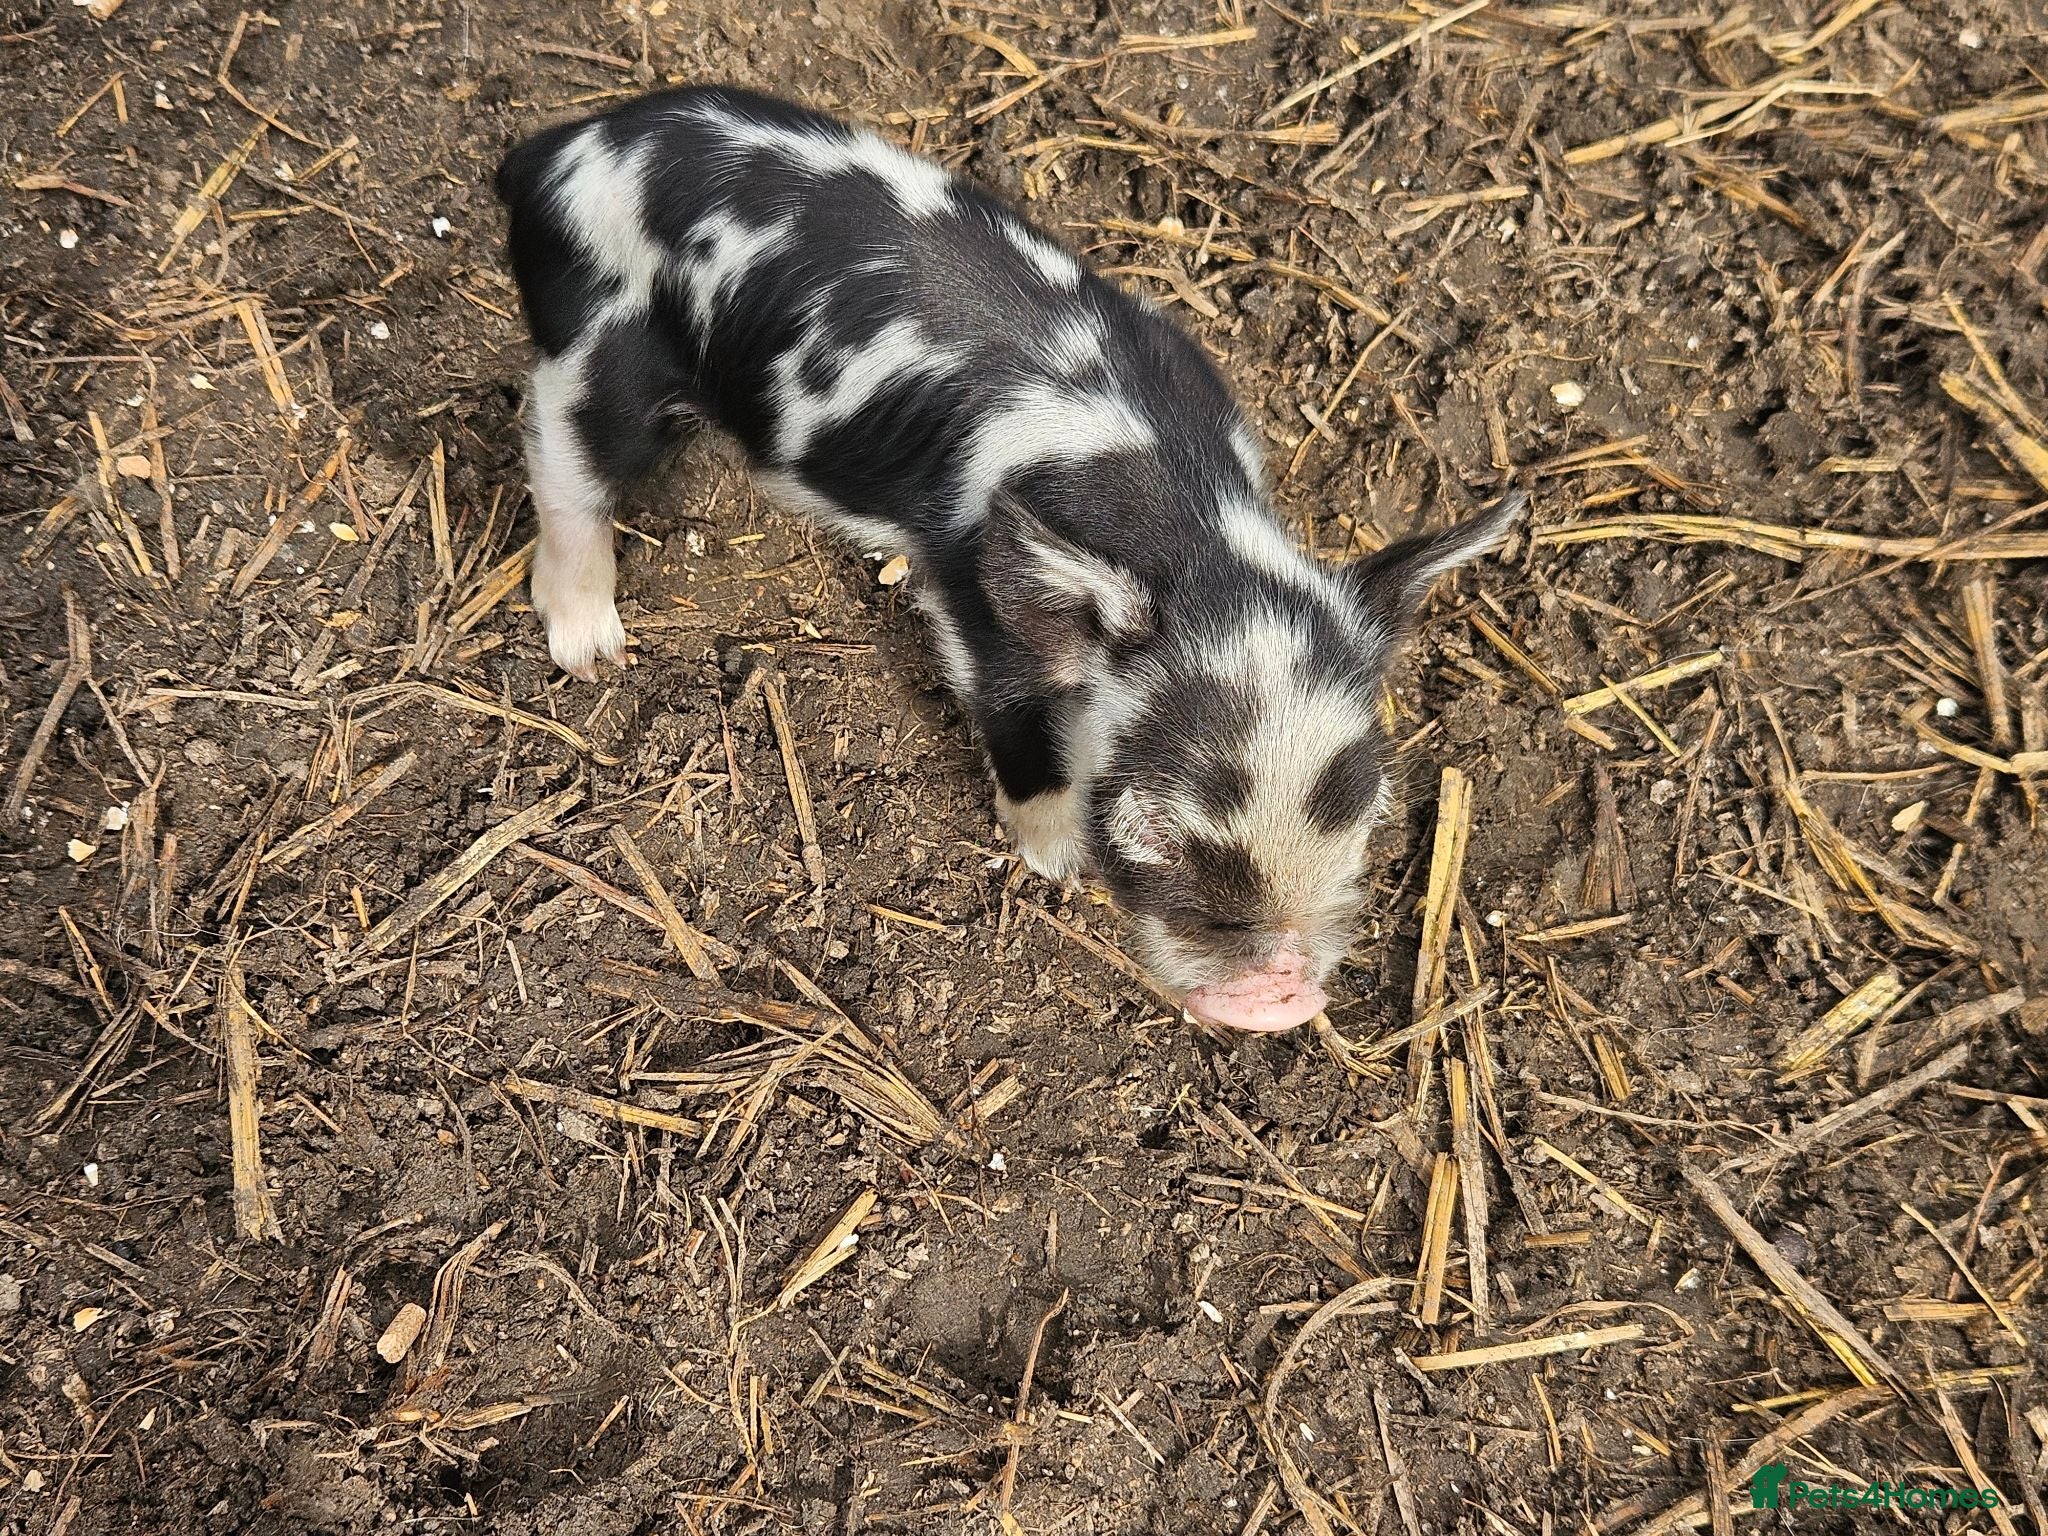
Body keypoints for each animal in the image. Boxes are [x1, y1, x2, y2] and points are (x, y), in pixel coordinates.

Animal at [494, 86, 1522, 1033]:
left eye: (1363, 821)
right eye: (1161, 828)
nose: (1278, 1000)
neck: (1189, 529)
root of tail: (555, 153)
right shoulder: (968, 589)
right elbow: (1016, 721)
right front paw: (1054, 860)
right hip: (602, 341)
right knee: (558, 452)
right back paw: (591, 651)